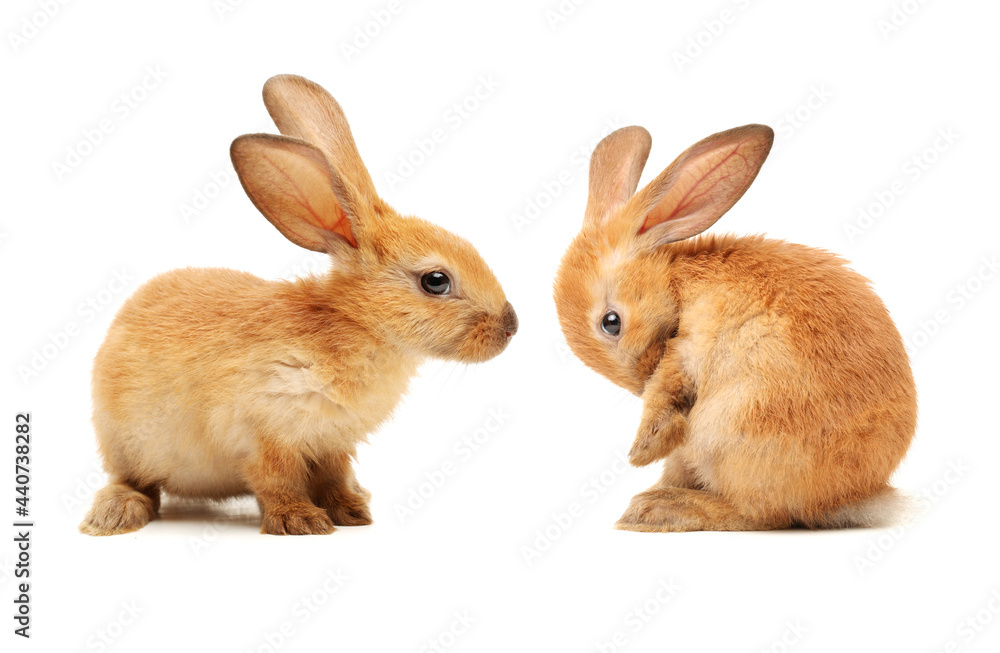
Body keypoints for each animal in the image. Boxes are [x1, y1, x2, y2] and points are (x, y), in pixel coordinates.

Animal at [80, 74, 518, 536]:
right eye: (436, 281)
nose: (511, 325)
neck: (357, 324)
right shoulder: (264, 435)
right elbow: (277, 482)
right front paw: (301, 521)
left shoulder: (333, 444)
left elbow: (333, 478)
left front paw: (352, 512)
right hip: (126, 445)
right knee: (132, 481)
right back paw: (115, 513)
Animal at [553, 124, 917, 532]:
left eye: (611, 323)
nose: (640, 378)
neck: (676, 280)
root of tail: (846, 497)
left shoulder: (685, 349)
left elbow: (665, 392)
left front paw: (640, 452)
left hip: (728, 427)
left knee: (759, 514)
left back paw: (657, 509)